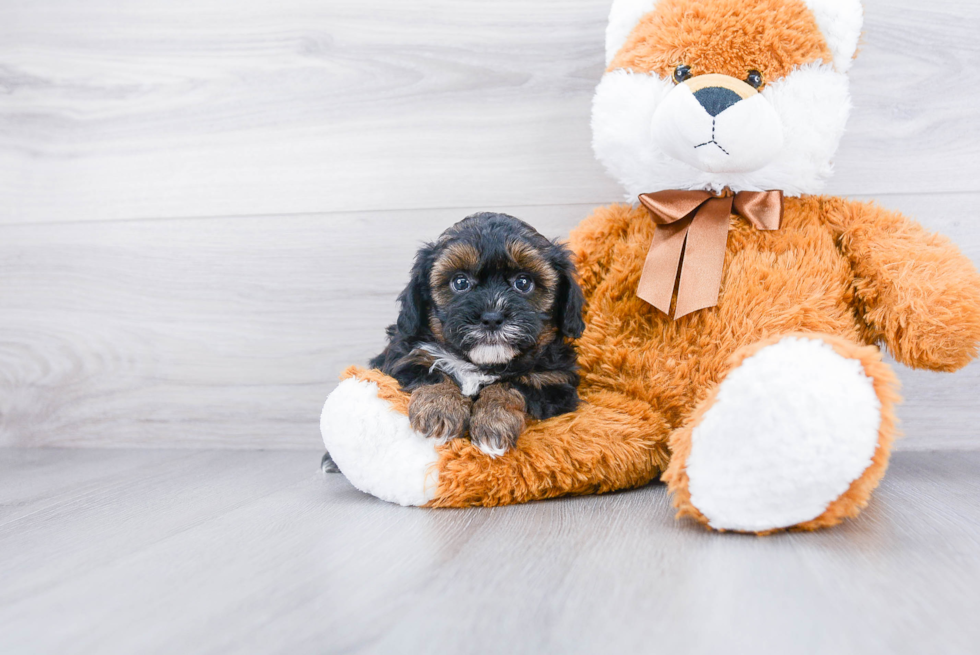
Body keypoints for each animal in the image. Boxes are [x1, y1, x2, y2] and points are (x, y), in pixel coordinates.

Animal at [366, 211, 580, 456]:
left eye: (523, 282)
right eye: (460, 282)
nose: (492, 318)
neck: (480, 364)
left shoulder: (553, 380)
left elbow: (509, 385)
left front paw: (494, 422)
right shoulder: (406, 355)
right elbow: (433, 373)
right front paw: (439, 410)